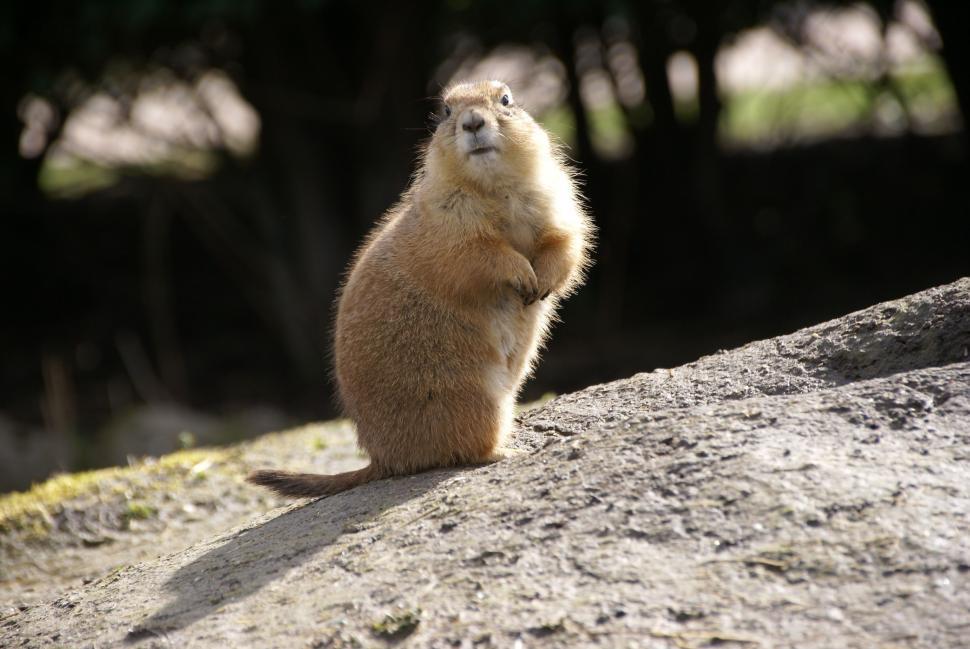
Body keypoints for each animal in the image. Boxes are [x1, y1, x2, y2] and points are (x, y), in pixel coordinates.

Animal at [247, 80, 593, 498]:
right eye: (445, 110)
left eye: (506, 99)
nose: (472, 122)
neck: (494, 189)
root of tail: (384, 459)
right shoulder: (448, 221)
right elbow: (475, 254)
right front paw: (522, 274)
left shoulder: (556, 196)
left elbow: (565, 240)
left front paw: (543, 281)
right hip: (471, 397)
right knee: (463, 449)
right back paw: (508, 451)